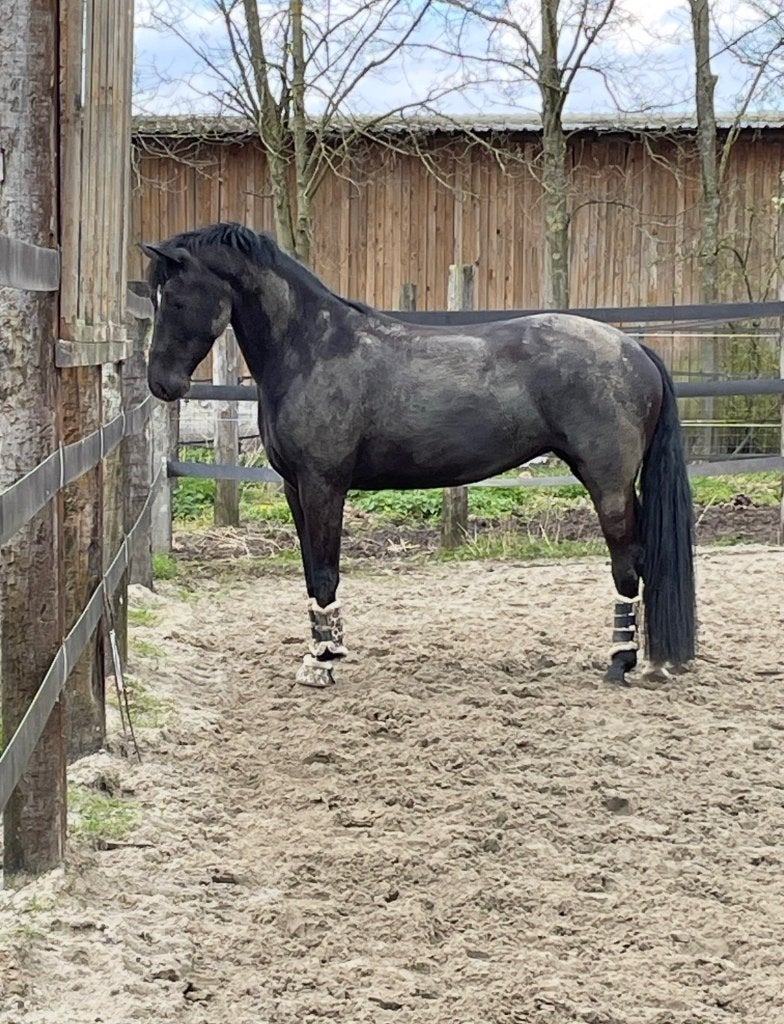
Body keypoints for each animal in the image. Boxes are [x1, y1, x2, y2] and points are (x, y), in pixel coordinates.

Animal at [141, 222, 696, 688]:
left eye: (175, 299)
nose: (162, 384)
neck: (311, 349)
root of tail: (634, 349)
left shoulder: (324, 486)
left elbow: (325, 571)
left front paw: (324, 664)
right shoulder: (295, 488)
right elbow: (310, 571)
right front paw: (319, 652)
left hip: (609, 483)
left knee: (628, 563)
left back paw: (620, 663)